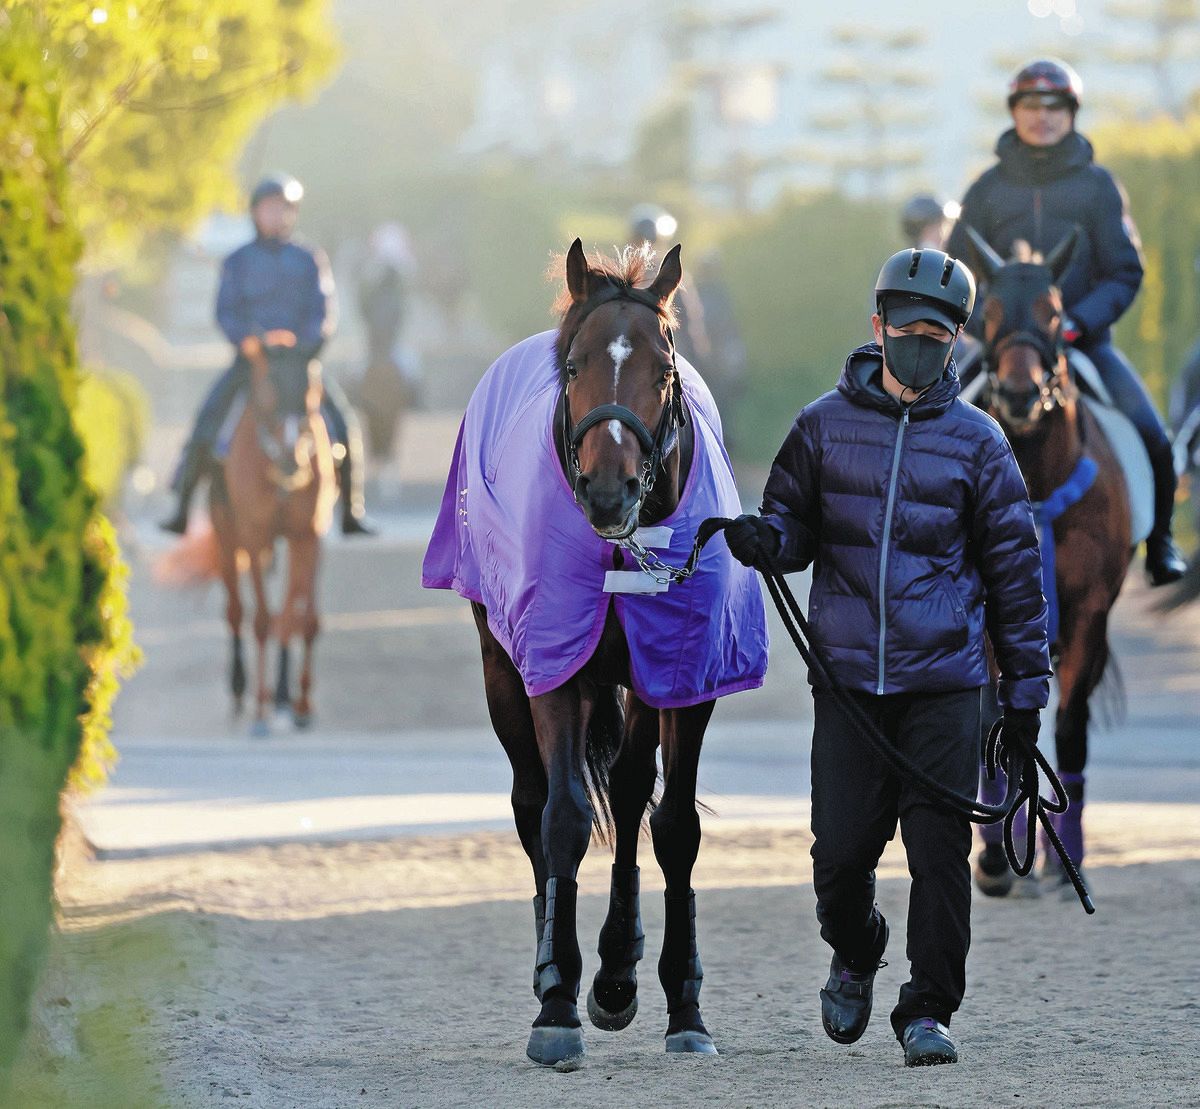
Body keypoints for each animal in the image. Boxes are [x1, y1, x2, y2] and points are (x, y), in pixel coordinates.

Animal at [209, 339, 337, 734]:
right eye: (267, 397)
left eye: (312, 399)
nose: (292, 461)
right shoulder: (253, 536)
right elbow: (263, 620)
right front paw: (262, 710)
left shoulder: (308, 535)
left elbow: (302, 618)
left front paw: (301, 703)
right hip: (225, 533)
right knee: (235, 609)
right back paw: (241, 689)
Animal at [422, 240, 767, 1065]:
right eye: (575, 365)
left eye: (666, 369)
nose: (609, 491)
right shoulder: (555, 657)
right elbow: (564, 816)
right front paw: (557, 1002)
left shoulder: (684, 673)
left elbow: (674, 825)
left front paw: (682, 1005)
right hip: (502, 667)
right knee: (531, 799)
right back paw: (557, 960)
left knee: (635, 788)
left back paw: (617, 967)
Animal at [964, 227, 1132, 890]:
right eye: (985, 312)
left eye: (1056, 313)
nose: (1018, 394)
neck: (1034, 482)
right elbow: (991, 719)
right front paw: (992, 859)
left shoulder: (1088, 617)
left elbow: (1067, 727)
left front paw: (1069, 861)